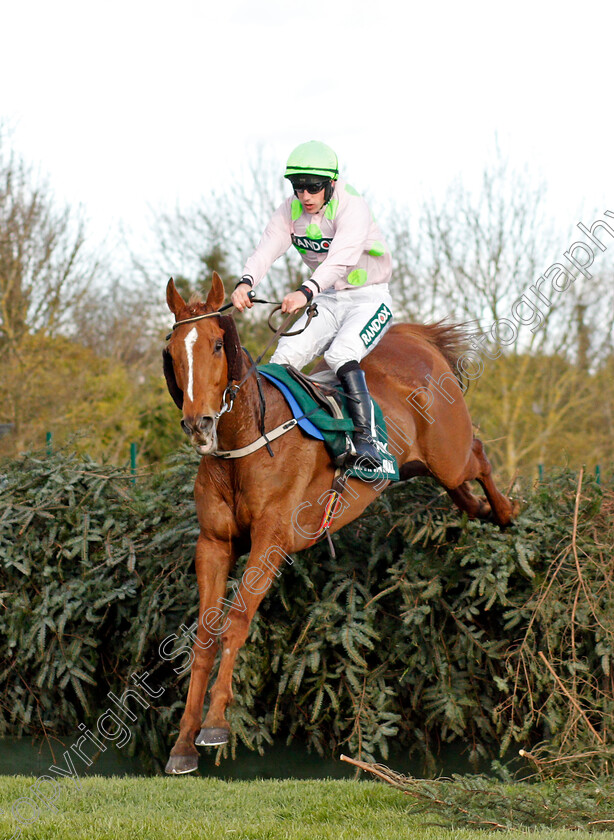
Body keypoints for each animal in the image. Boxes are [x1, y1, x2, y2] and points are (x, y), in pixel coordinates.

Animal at [161, 276, 516, 776]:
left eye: (215, 344)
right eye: (173, 351)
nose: (199, 423)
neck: (246, 440)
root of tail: (417, 340)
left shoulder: (271, 541)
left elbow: (236, 621)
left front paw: (214, 725)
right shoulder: (213, 544)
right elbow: (205, 637)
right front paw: (183, 744)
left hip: (451, 454)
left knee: (479, 456)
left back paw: (505, 511)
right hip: (420, 468)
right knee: (461, 492)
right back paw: (483, 510)